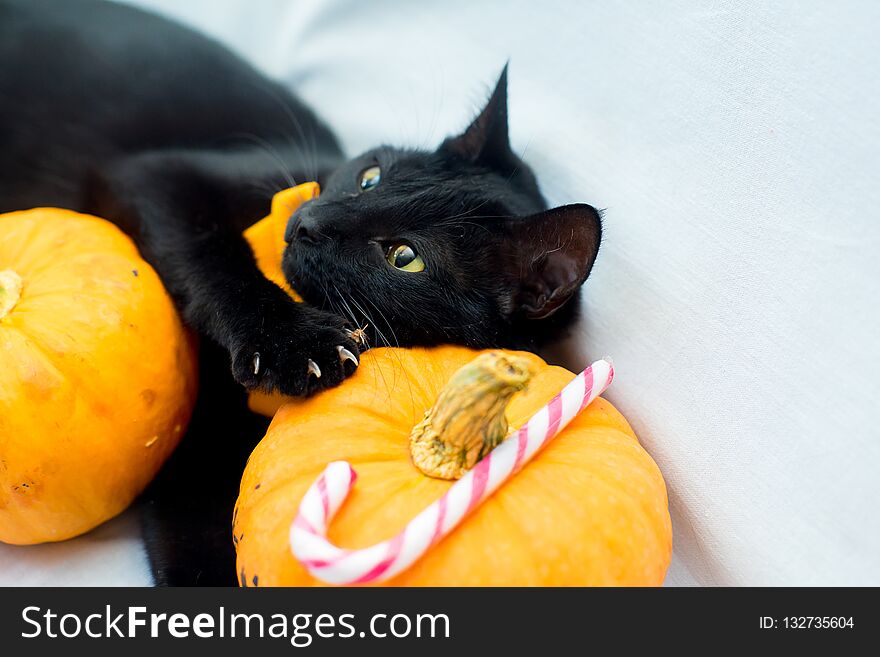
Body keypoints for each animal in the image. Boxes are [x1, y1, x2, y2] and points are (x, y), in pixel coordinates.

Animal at [0, 0, 600, 584]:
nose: (309, 221)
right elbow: (212, 253)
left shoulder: (195, 465)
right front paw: (292, 343)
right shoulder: (157, 176)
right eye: (370, 176)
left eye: (404, 257)